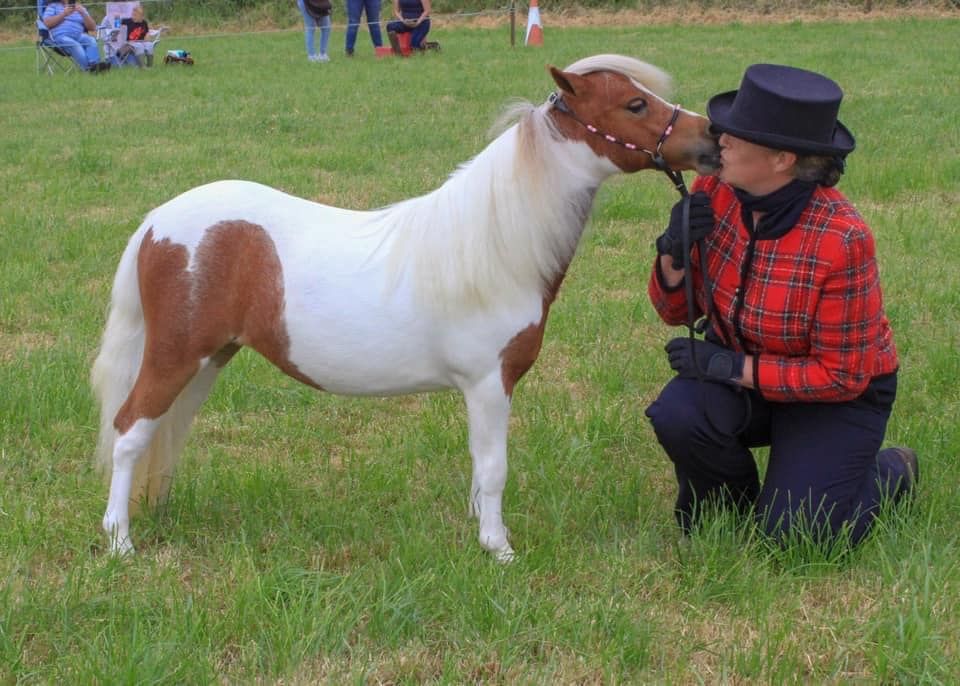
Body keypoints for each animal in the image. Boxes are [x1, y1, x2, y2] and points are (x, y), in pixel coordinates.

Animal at [91, 54, 720, 561]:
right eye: (635, 103)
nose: (712, 138)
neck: (494, 246)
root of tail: (157, 222)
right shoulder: (490, 383)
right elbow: (494, 468)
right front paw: (499, 549)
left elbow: (478, 468)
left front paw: (481, 532)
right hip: (175, 356)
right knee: (129, 430)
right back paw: (120, 541)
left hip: (209, 358)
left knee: (164, 432)